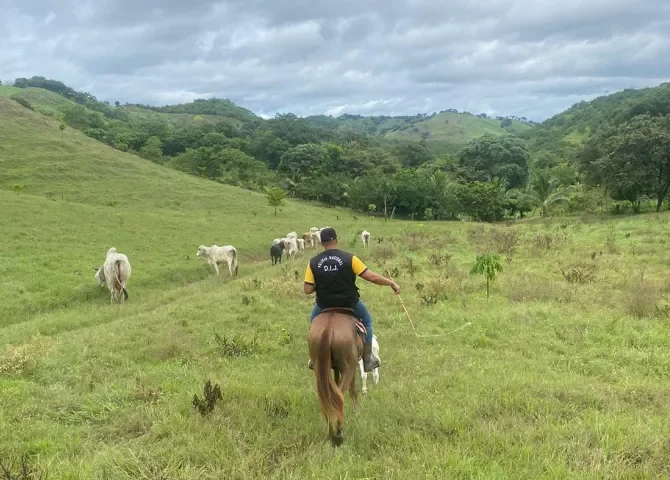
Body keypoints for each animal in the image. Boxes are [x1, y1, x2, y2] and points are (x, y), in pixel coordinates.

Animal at [308, 308, 364, 446]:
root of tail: (328, 328)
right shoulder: (351, 368)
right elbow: (353, 391)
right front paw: (357, 413)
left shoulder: (335, 368)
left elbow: (335, 382)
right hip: (349, 368)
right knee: (340, 396)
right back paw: (338, 433)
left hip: (319, 368)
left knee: (326, 398)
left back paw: (330, 432)